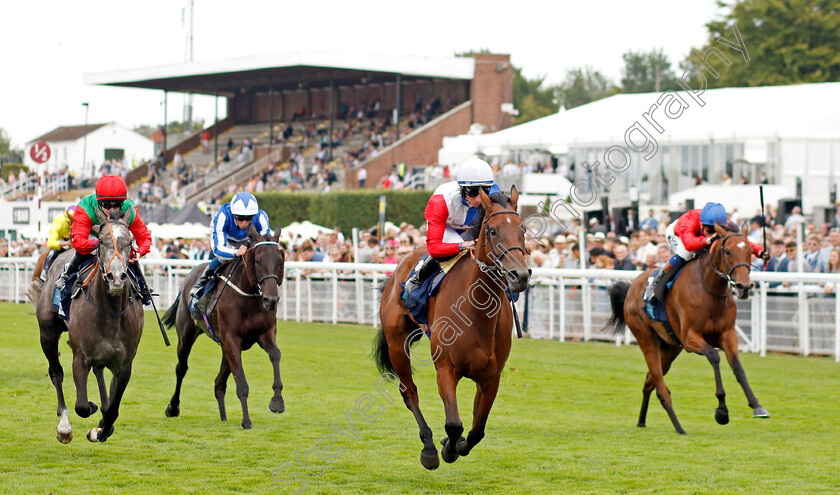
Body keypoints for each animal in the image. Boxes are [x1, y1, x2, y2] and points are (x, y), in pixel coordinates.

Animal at [32, 211, 144, 444]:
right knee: (56, 372)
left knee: (99, 371)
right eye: (101, 241)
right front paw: (91, 408)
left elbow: (112, 410)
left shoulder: (125, 364)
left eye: (130, 242)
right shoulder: (80, 356)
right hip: (47, 333)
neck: (111, 312)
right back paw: (64, 426)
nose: (116, 277)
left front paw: (100, 429)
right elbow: (82, 406)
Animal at [162, 225, 288, 430]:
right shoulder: (232, 339)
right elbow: (242, 384)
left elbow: (275, 355)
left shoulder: (264, 334)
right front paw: (246, 421)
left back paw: (223, 416)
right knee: (181, 368)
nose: (271, 300)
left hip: (224, 348)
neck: (248, 296)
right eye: (258, 260)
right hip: (187, 335)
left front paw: (277, 401)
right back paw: (173, 407)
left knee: (219, 383)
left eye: (280, 260)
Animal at [374, 186, 532, 468]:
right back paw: (428, 446)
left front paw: (455, 445)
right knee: (409, 391)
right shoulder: (446, 369)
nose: (520, 276)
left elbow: (477, 429)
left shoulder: (491, 377)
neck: (477, 315)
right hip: (397, 344)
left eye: (522, 229)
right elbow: (454, 424)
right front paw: (446, 448)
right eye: (493, 231)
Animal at [608, 224, 772, 434]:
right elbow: (714, 356)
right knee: (660, 386)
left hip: (670, 348)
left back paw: (642, 421)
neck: (710, 290)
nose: (744, 287)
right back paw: (679, 427)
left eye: (750, 251)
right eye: (728, 251)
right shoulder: (690, 338)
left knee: (649, 381)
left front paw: (757, 406)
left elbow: (738, 368)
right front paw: (722, 411)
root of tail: (631, 288)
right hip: (646, 339)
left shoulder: (727, 335)